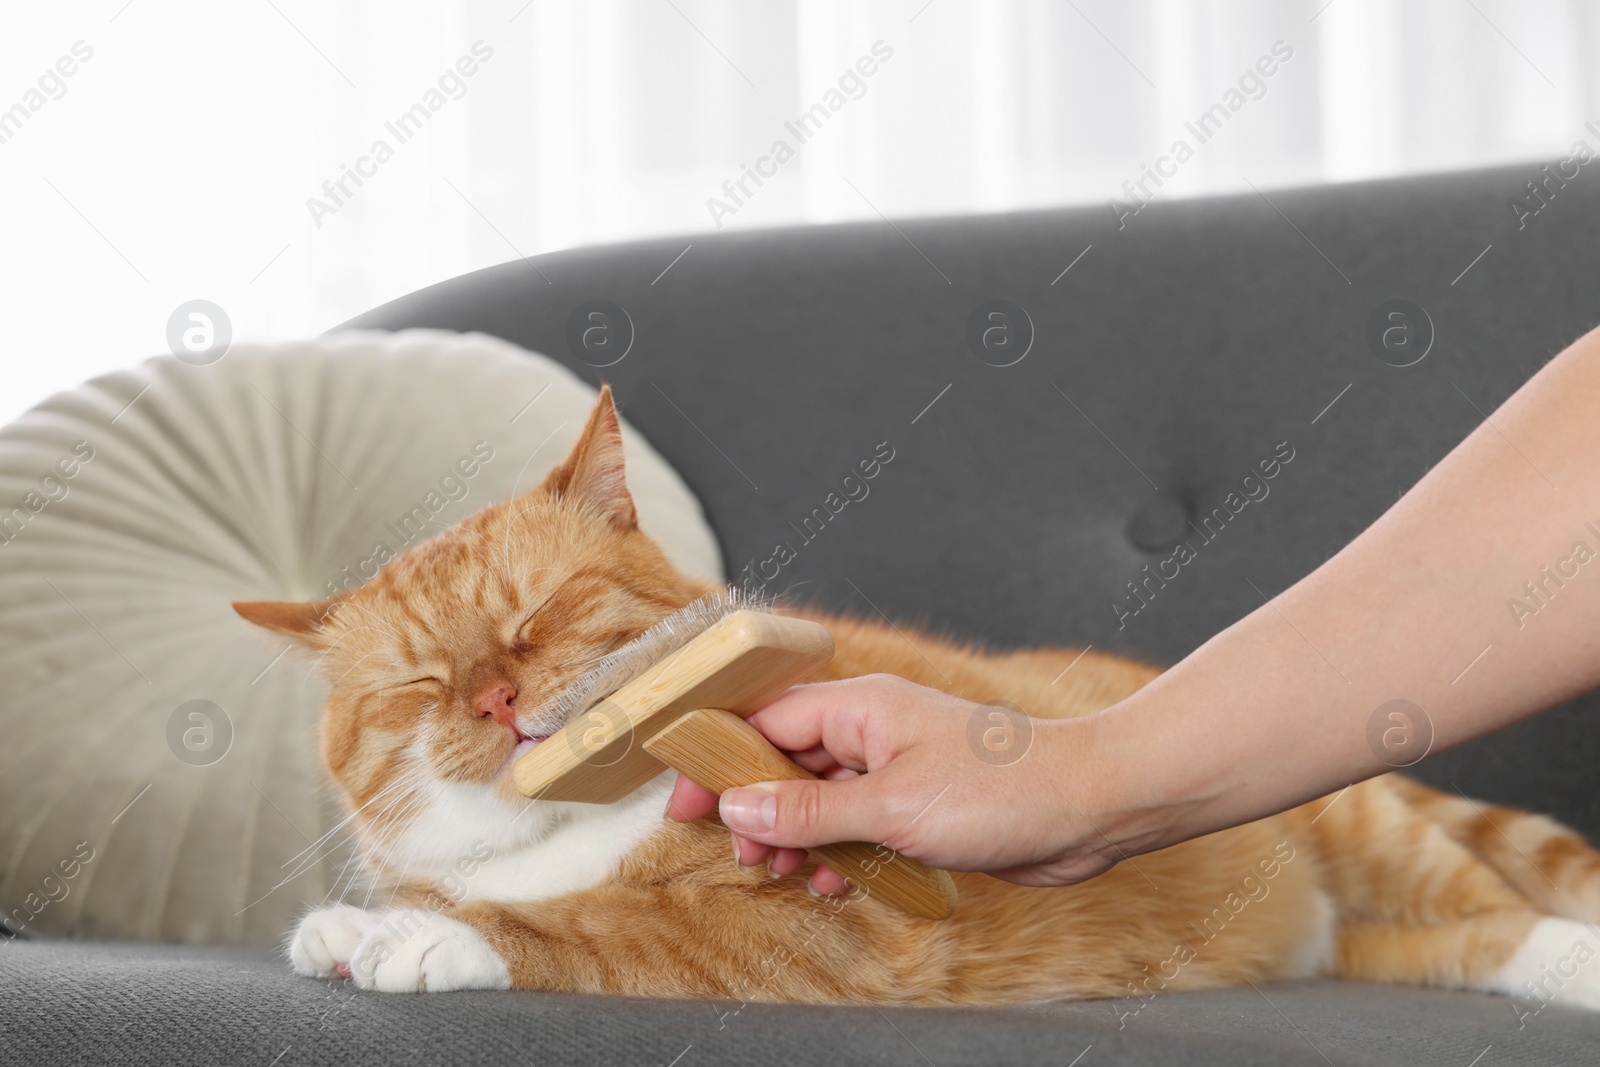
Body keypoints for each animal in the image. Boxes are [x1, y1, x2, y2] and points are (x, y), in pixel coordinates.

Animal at [232, 385, 1600, 1011]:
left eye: (540, 616)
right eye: (421, 681)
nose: (499, 699)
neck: (560, 836)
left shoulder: (827, 932)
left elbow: (606, 931)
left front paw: (430, 936)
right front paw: (371, 922)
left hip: (1372, 830)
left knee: (1496, 914)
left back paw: (1576, 961)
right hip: (1344, 920)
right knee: (1425, 947)